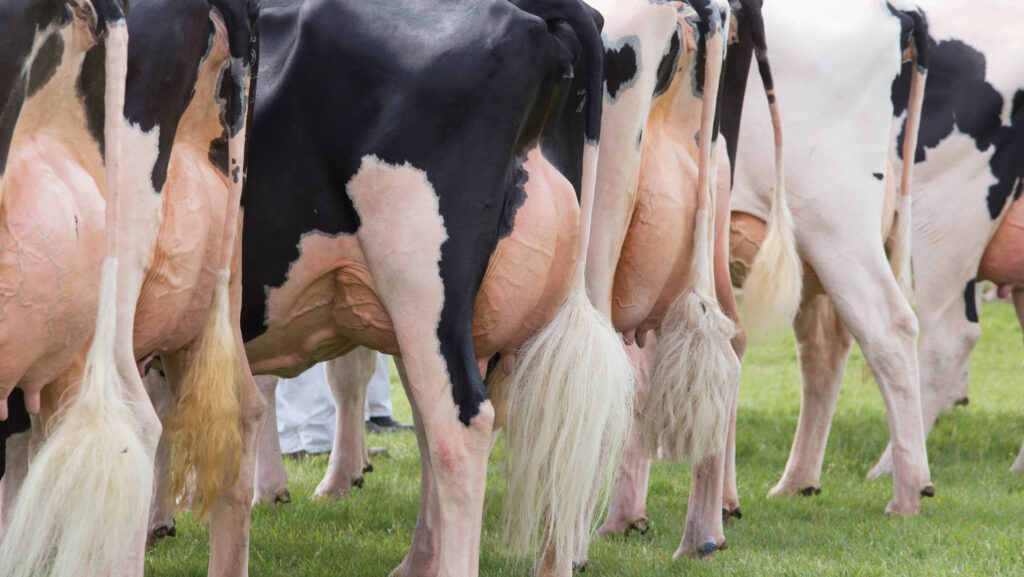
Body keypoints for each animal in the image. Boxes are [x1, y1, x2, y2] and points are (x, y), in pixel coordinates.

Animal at [728, 0, 935, 515]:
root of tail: (898, 11)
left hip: (834, 225)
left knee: (889, 328)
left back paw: (908, 492)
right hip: (814, 254)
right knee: (825, 345)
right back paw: (797, 481)